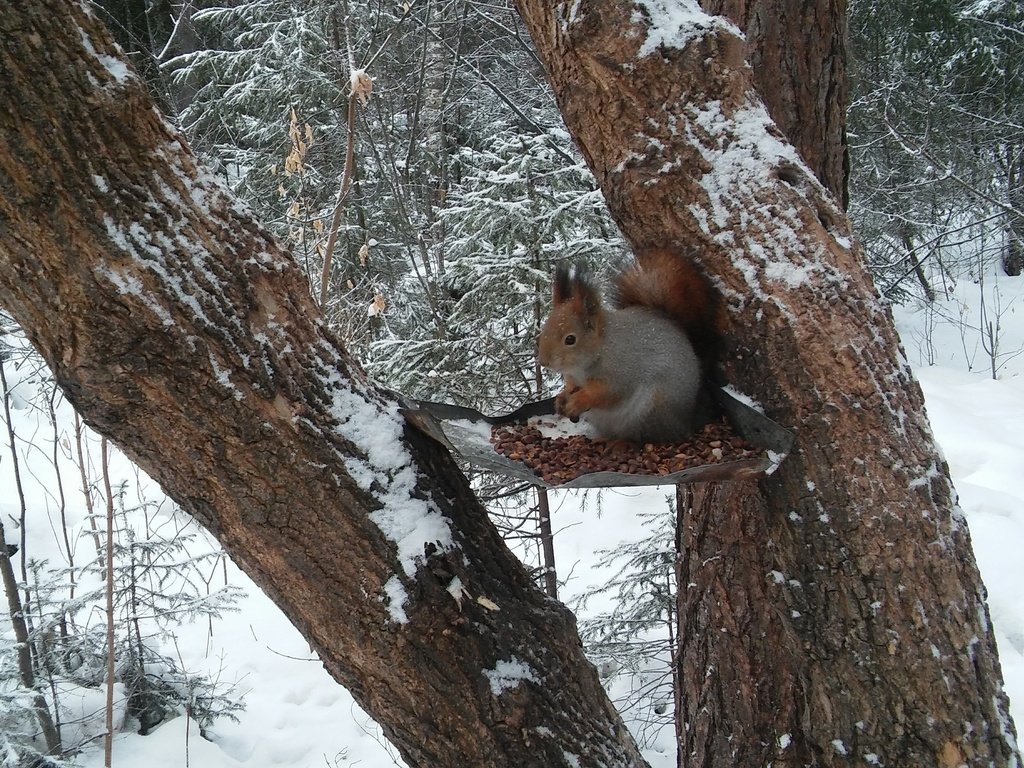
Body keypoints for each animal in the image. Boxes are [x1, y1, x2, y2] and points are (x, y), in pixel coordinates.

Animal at [536, 250, 720, 444]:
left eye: (570, 339)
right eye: (545, 328)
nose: (544, 362)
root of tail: (686, 421)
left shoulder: (621, 373)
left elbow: (607, 393)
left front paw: (580, 400)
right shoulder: (572, 376)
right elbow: (570, 387)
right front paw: (561, 397)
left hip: (653, 409)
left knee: (647, 437)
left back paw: (621, 443)